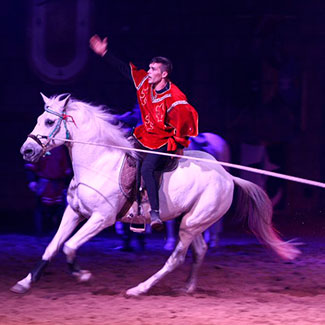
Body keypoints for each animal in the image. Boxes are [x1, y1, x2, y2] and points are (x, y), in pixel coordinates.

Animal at [11, 92, 298, 294]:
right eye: (38, 120)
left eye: (49, 121)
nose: (26, 151)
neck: (98, 161)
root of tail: (227, 176)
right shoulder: (74, 212)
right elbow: (52, 246)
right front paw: (25, 283)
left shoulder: (101, 219)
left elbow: (69, 246)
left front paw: (82, 275)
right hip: (191, 220)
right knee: (200, 251)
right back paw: (188, 287)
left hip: (192, 223)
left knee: (176, 258)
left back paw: (140, 289)